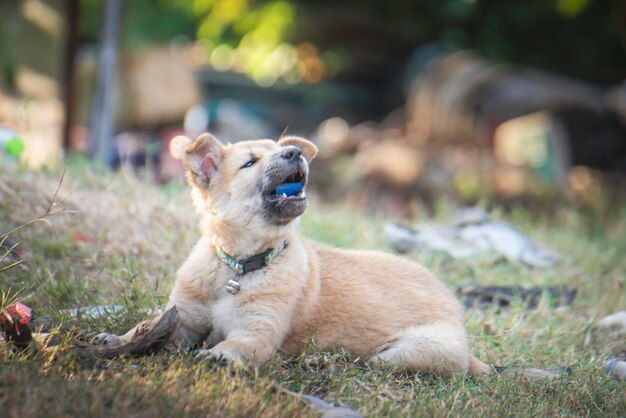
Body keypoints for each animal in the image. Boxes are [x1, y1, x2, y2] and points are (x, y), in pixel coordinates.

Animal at [95, 134, 490, 376]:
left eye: (280, 149)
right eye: (249, 163)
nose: (295, 153)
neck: (239, 267)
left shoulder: (259, 331)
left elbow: (238, 343)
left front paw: (221, 353)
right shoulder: (184, 318)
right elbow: (148, 327)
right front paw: (117, 339)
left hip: (412, 352)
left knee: (370, 364)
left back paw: (322, 360)